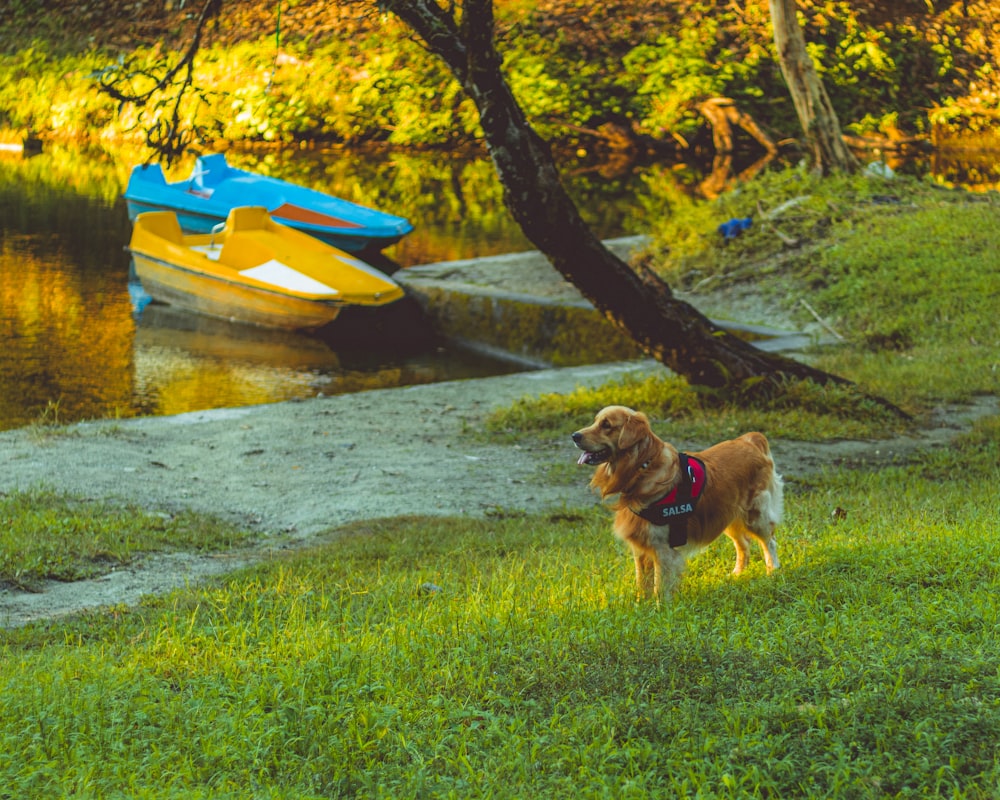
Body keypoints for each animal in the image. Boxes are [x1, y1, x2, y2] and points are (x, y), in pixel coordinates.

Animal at [572, 406, 780, 600]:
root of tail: (750, 440)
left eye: (606, 425)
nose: (575, 436)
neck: (643, 469)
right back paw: (737, 574)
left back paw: (773, 572)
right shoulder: (640, 546)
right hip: (727, 516)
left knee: (769, 542)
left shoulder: (664, 549)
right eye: (595, 421)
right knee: (744, 543)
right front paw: (641, 606)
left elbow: (660, 588)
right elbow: (642, 584)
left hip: (755, 515)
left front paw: (660, 609)